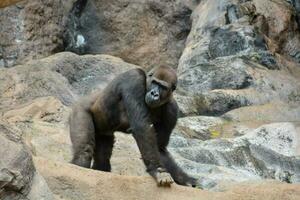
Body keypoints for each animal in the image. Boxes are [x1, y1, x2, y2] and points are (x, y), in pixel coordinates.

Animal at [69, 66, 198, 187]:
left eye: (163, 87)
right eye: (155, 83)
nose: (154, 94)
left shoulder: (172, 109)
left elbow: (160, 147)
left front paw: (183, 179)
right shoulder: (134, 78)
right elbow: (142, 127)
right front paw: (157, 170)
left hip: (104, 133)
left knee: (103, 158)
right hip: (79, 109)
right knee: (84, 152)